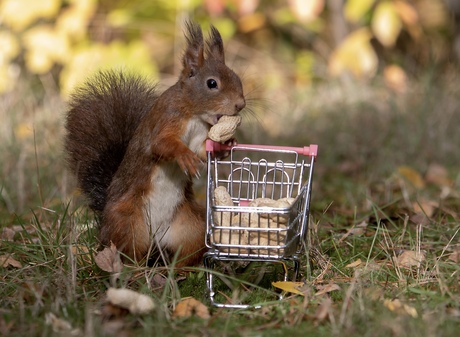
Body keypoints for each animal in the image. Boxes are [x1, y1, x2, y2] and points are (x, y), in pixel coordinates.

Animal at [65, 22, 246, 266]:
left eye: (236, 77)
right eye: (212, 83)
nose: (240, 105)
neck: (195, 115)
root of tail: (156, 239)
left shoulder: (200, 137)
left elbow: (202, 150)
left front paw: (226, 143)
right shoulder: (165, 120)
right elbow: (162, 145)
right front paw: (184, 156)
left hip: (192, 226)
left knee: (185, 252)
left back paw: (183, 269)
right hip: (127, 224)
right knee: (130, 253)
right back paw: (134, 269)